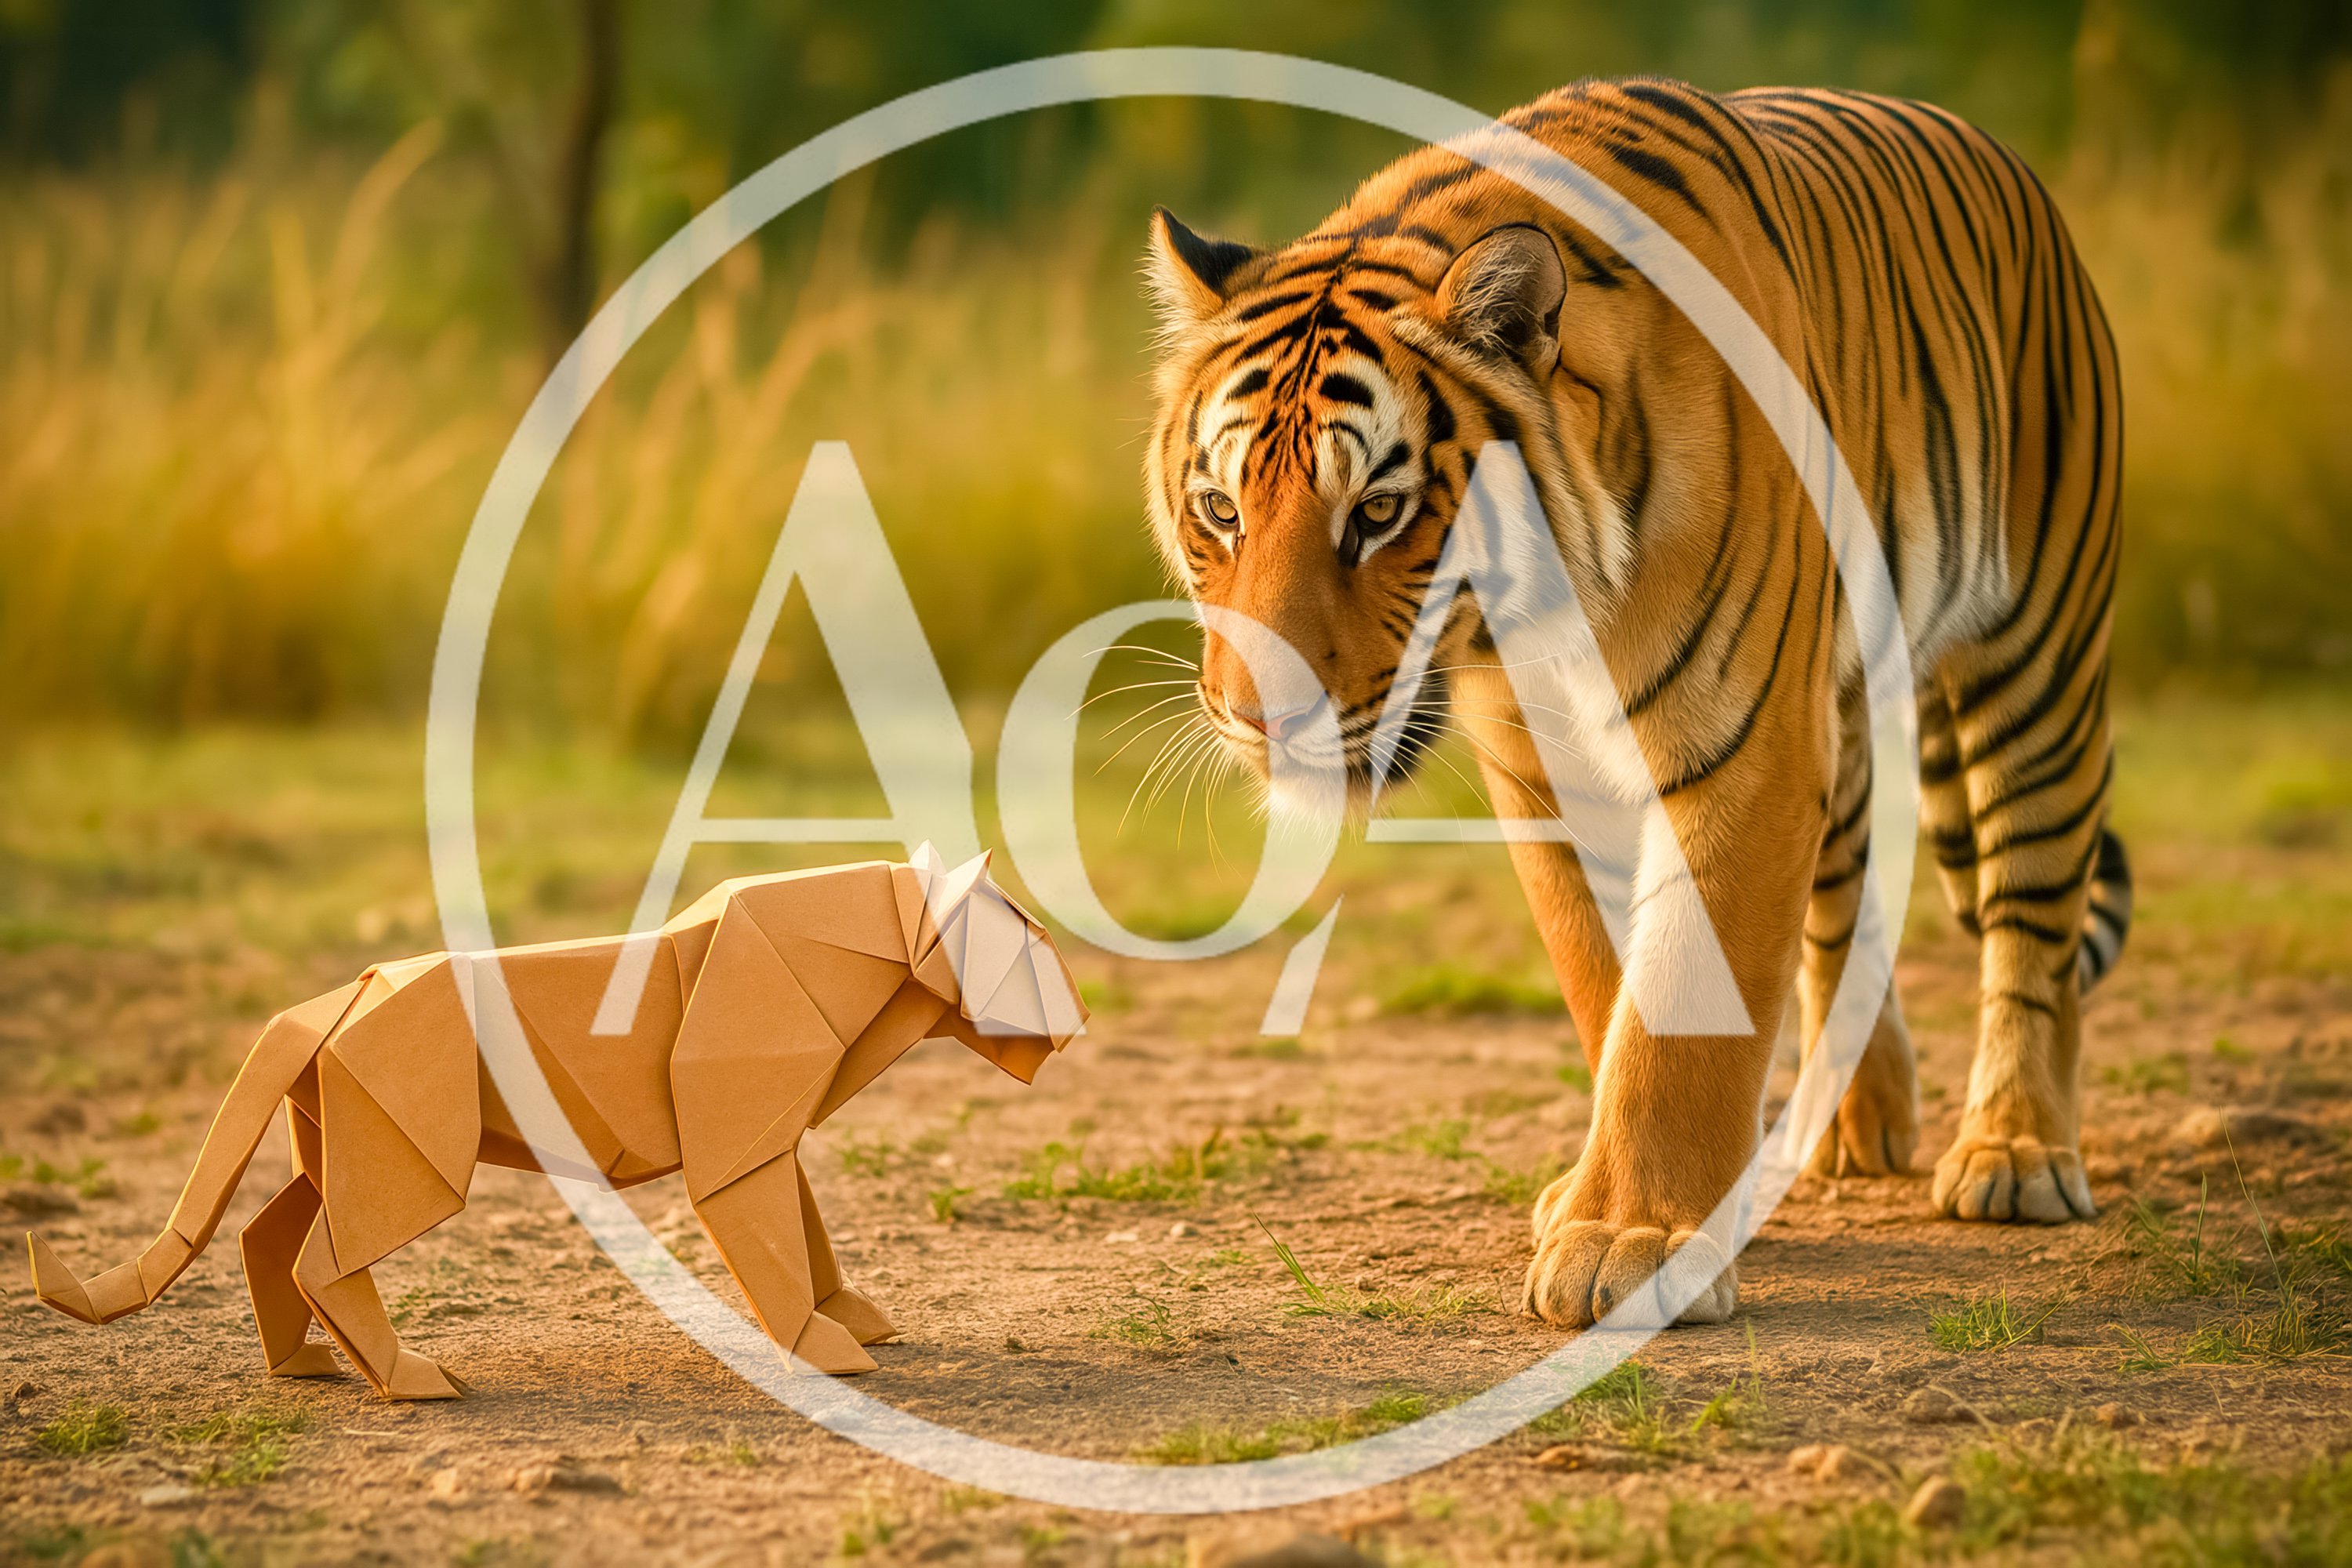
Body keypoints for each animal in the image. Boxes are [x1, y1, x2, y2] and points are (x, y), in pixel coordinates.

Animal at [1142, 77, 2131, 1329]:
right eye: (1220, 510)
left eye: (1377, 510)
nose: (1256, 717)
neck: (1553, 612)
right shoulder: (1549, 774)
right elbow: (1608, 984)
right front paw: (1628, 1203)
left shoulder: (1749, 747)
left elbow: (1676, 1006)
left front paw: (1630, 1242)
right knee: (1846, 905)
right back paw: (1848, 1128)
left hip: (2036, 656)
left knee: (2033, 915)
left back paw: (2017, 1153)